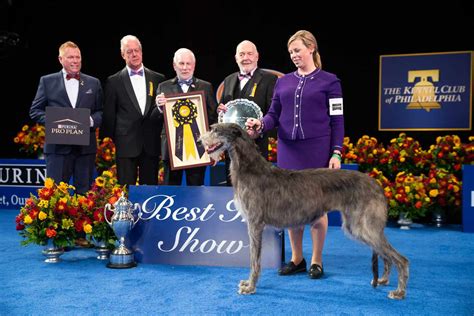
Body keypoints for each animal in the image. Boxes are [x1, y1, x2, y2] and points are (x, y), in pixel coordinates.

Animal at [198, 123, 410, 298]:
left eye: (215, 130)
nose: (199, 141)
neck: (250, 168)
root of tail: (378, 185)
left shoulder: (255, 224)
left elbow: (254, 260)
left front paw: (250, 287)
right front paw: (249, 284)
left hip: (362, 226)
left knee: (401, 259)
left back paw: (399, 291)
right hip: (361, 227)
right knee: (386, 255)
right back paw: (383, 280)